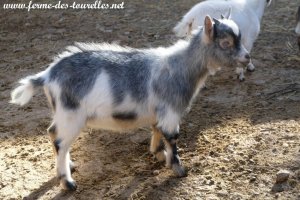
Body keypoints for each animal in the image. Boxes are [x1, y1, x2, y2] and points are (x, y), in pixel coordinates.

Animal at [10, 15, 250, 191]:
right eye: (226, 43)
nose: (247, 57)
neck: (180, 67)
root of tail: (47, 75)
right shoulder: (171, 111)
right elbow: (172, 137)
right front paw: (179, 169)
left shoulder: (159, 112)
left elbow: (157, 130)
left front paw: (158, 154)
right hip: (72, 114)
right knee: (60, 141)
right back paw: (68, 182)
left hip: (62, 112)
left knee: (53, 133)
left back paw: (70, 165)